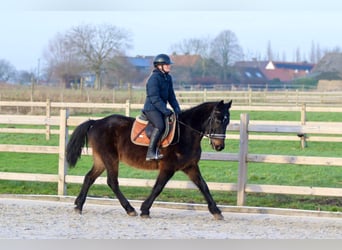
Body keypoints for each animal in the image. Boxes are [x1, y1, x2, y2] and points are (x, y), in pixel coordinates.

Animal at [67, 99, 232, 219]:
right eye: (217, 120)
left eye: (227, 121)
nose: (219, 146)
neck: (185, 133)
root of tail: (96, 122)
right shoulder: (168, 167)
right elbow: (158, 187)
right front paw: (145, 210)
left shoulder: (190, 166)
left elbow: (203, 186)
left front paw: (216, 211)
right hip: (110, 158)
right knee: (112, 182)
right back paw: (130, 209)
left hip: (101, 160)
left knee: (89, 178)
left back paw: (79, 205)